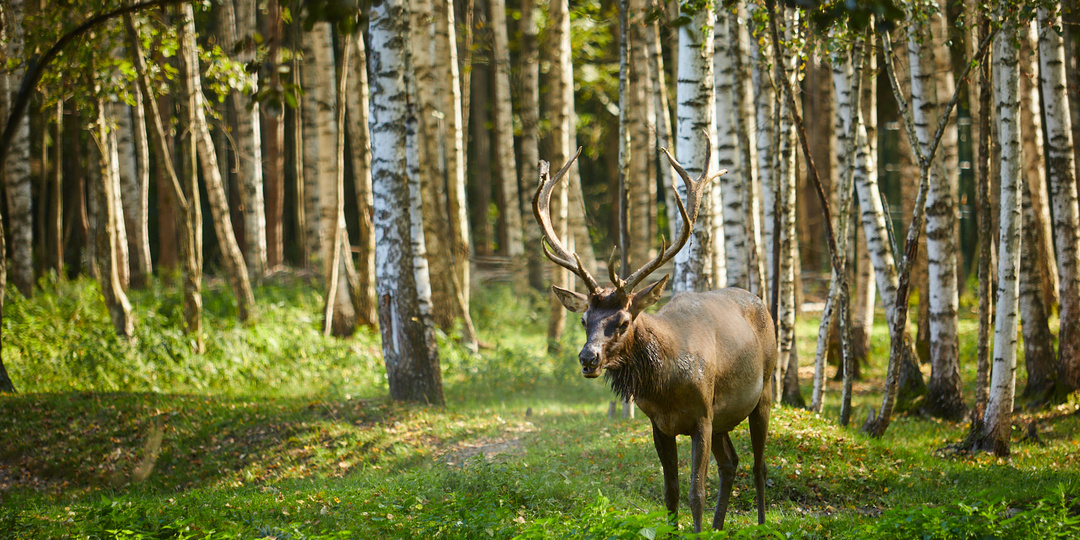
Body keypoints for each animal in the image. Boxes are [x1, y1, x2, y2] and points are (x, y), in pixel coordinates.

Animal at [533, 138, 777, 531]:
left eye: (622, 321)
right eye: (584, 319)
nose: (588, 358)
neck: (667, 388)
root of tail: (759, 301)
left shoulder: (702, 417)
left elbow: (696, 492)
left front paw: (697, 531)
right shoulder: (659, 424)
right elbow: (670, 492)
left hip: (764, 390)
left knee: (758, 465)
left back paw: (761, 523)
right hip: (725, 417)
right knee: (731, 464)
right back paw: (719, 527)